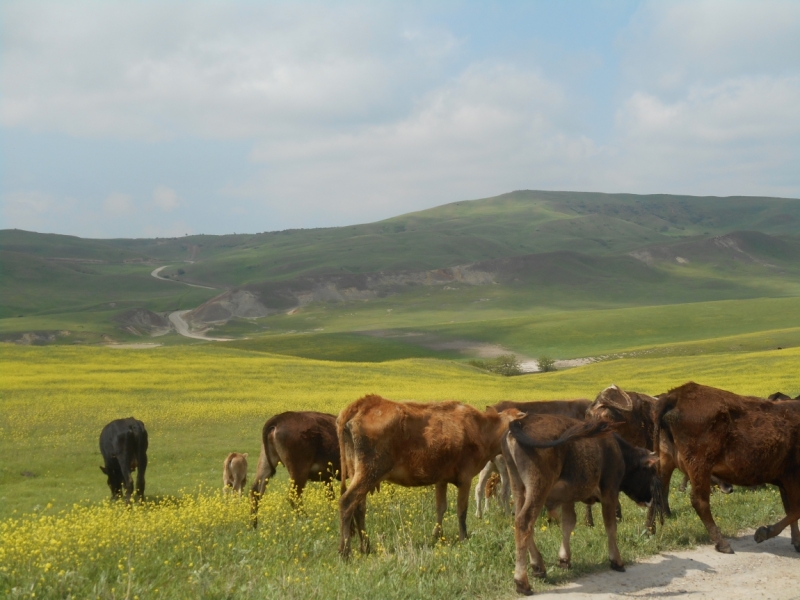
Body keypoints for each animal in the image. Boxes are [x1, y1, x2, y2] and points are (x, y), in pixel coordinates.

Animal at [336, 394, 520, 556]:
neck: (481, 429)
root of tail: (366, 401)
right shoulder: (465, 478)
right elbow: (461, 510)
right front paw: (463, 538)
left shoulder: (442, 479)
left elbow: (441, 507)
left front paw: (437, 535)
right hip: (370, 471)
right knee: (347, 502)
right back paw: (345, 552)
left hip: (358, 471)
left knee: (359, 508)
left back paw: (366, 547)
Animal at [504, 412, 664, 596]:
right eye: (650, 471)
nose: (649, 499)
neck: (618, 451)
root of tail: (521, 422)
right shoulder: (610, 492)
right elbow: (611, 527)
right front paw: (616, 560)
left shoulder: (568, 498)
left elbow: (568, 524)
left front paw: (564, 559)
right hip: (538, 487)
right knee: (525, 522)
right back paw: (522, 582)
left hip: (518, 487)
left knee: (520, 521)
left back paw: (538, 567)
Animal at [652, 382, 800, 556]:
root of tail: (676, 394)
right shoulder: (791, 477)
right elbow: (795, 510)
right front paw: (763, 533)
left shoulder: (785, 481)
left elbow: (791, 510)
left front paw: (796, 541)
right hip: (699, 467)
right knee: (700, 502)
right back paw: (723, 544)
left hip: (667, 462)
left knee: (659, 491)